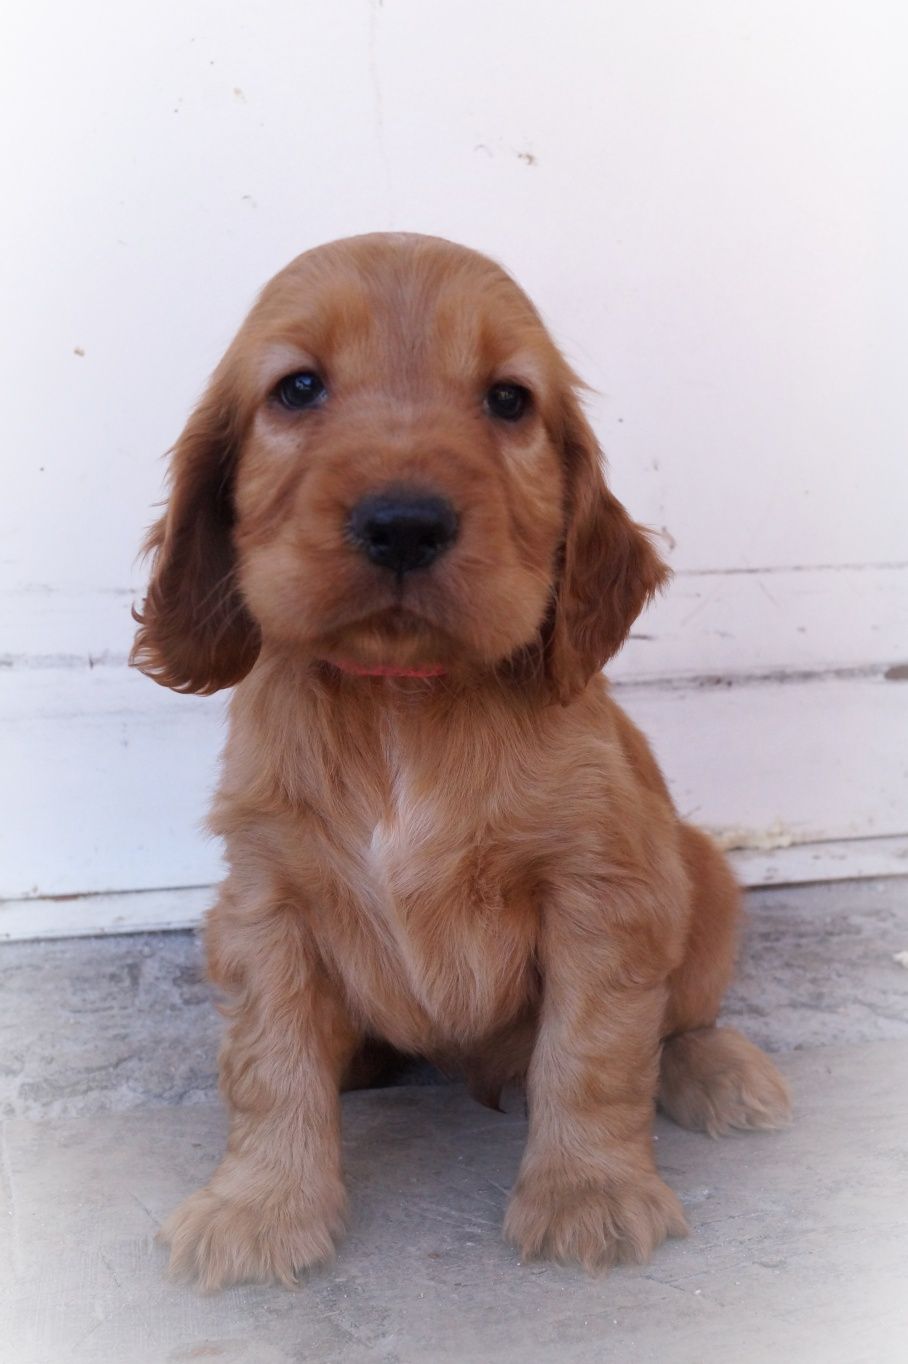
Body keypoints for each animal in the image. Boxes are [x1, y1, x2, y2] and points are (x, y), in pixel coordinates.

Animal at [130, 231, 790, 1287]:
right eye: (298, 387)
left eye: (510, 399)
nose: (404, 522)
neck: (403, 696)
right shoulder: (265, 897)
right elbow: (269, 1062)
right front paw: (261, 1206)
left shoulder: (602, 890)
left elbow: (592, 1052)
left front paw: (587, 1191)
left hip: (706, 882)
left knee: (680, 1020)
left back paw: (721, 1073)